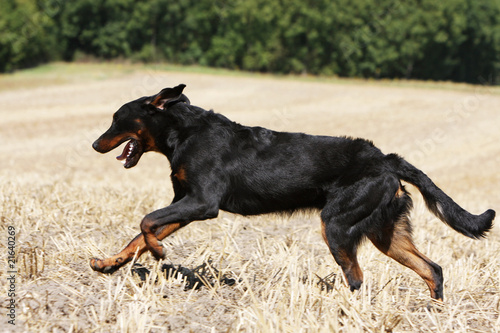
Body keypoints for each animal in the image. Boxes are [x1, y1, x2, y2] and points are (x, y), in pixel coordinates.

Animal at [92, 84, 494, 300]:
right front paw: (109, 263)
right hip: (385, 232)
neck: (184, 131)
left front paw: (159, 252)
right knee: (433, 269)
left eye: (116, 118)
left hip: (337, 225)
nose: (95, 144)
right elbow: (138, 236)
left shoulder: (202, 202)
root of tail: (388, 160)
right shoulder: (185, 203)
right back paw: (434, 312)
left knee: (357, 277)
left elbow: (146, 222)